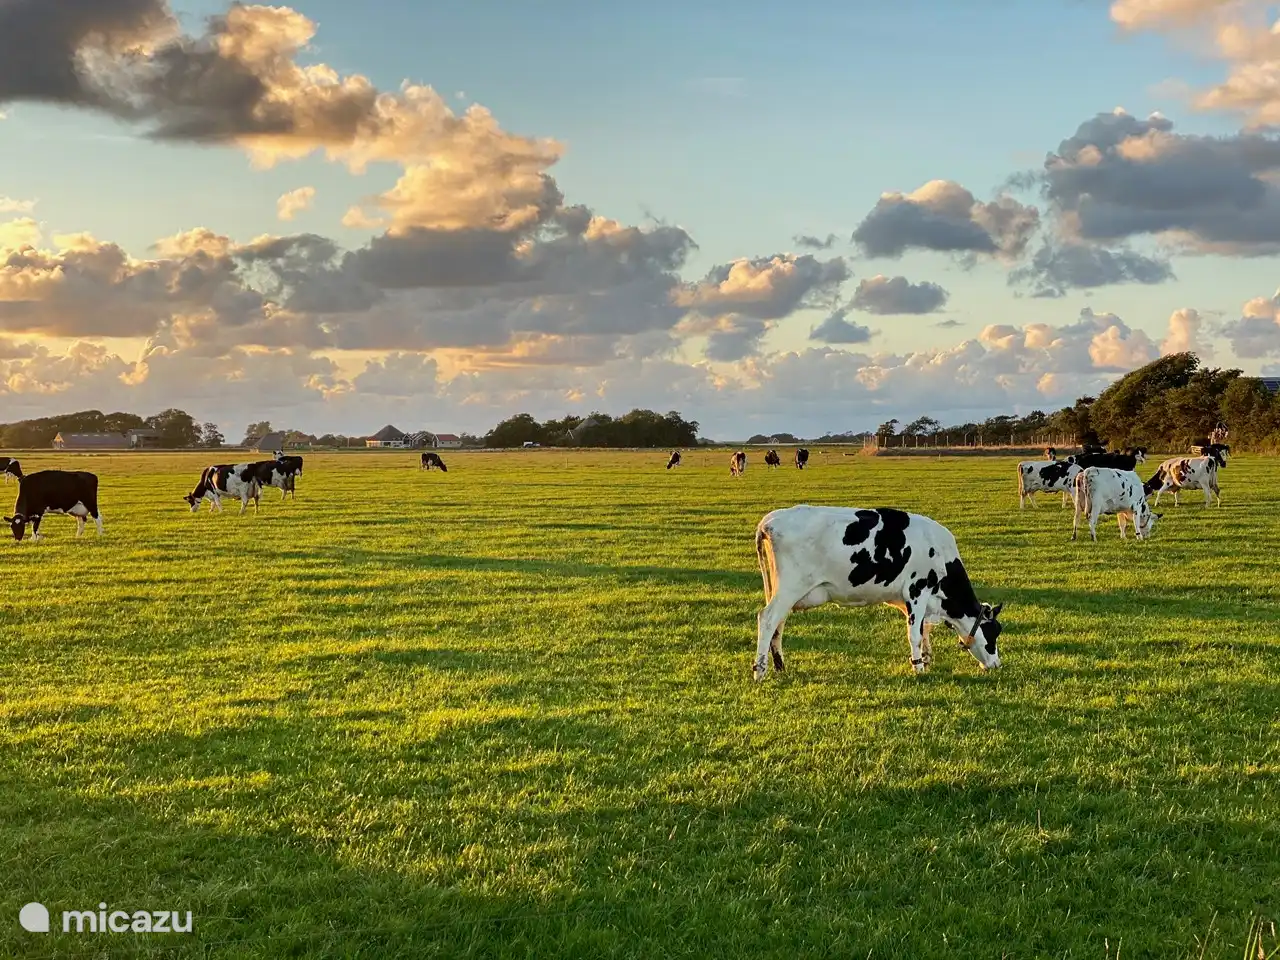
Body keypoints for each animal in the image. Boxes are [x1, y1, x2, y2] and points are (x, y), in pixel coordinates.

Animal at [753, 505, 1003, 679]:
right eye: (994, 633)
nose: (997, 664)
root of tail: (769, 521)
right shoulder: (917, 590)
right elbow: (914, 634)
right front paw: (918, 667)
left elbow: (923, 630)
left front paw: (926, 659)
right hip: (790, 587)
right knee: (767, 619)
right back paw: (759, 670)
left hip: (781, 590)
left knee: (778, 623)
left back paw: (780, 666)